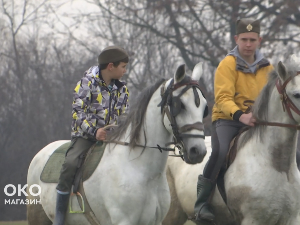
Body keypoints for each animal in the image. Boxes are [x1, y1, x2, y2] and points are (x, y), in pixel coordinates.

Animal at [26, 62, 209, 225]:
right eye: (180, 105)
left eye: (204, 107)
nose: (198, 151)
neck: (141, 170)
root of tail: (41, 153)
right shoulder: (123, 221)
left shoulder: (155, 222)